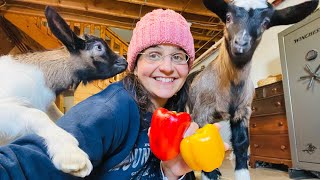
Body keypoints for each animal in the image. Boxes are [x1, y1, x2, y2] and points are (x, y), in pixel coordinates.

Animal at [188, 0, 318, 179]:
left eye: (266, 23)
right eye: (228, 17)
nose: (241, 46)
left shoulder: (242, 112)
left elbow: (242, 143)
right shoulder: (202, 113)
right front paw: (209, 173)